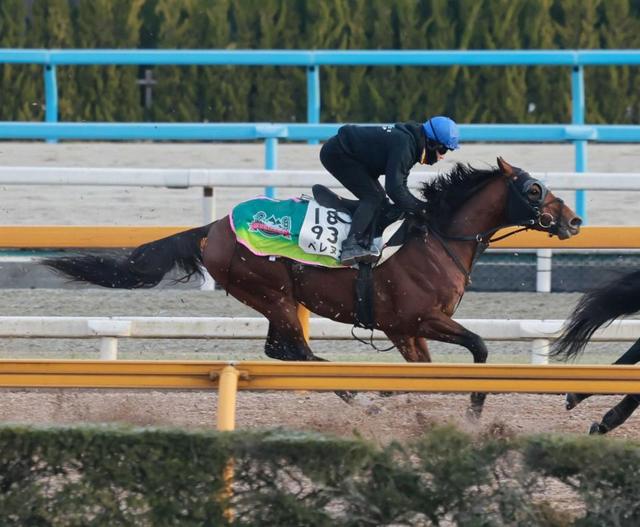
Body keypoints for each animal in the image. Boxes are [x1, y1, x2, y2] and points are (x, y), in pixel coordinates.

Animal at [42, 159, 584, 418]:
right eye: (534, 189)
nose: (574, 220)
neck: (437, 237)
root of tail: (213, 227)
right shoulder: (417, 319)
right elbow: (480, 348)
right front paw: (468, 414)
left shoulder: (406, 330)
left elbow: (423, 373)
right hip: (273, 292)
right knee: (292, 351)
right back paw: (352, 389)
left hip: (274, 300)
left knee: (283, 349)